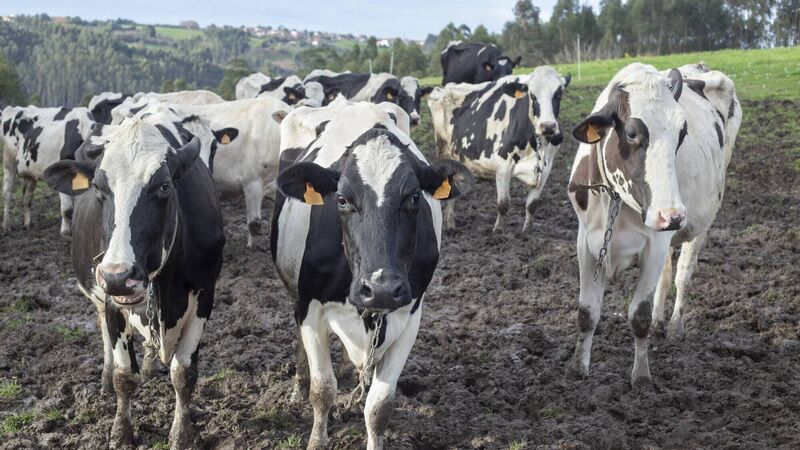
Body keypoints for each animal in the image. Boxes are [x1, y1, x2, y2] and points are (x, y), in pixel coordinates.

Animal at [2, 105, 94, 235]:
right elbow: (68, 209)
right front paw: (66, 232)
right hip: (9, 158)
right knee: (7, 192)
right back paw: (6, 225)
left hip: (30, 171)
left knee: (27, 196)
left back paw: (27, 224)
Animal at [42, 117, 225, 449]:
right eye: (98, 187)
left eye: (164, 186)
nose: (118, 275)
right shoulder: (112, 300)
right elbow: (125, 375)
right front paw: (121, 433)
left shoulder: (205, 295)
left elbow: (184, 374)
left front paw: (182, 434)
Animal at [271, 98, 473, 450]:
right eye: (341, 199)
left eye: (414, 197)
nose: (381, 288)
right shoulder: (311, 307)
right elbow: (322, 390)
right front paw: (317, 438)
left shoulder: (409, 315)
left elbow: (379, 406)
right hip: (295, 293)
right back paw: (298, 386)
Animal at [427, 66, 571, 232]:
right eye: (532, 95)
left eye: (558, 93)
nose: (548, 126)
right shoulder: (503, 164)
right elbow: (503, 203)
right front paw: (498, 231)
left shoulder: (547, 166)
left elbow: (532, 205)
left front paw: (527, 233)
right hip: (443, 150)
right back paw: (449, 226)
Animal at [566, 63, 741, 386]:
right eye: (632, 133)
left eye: (682, 132)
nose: (672, 215)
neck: (616, 201)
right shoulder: (586, 241)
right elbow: (587, 312)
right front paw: (577, 368)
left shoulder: (654, 244)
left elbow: (639, 315)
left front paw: (641, 376)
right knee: (667, 275)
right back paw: (661, 320)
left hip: (701, 222)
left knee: (682, 275)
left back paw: (674, 325)